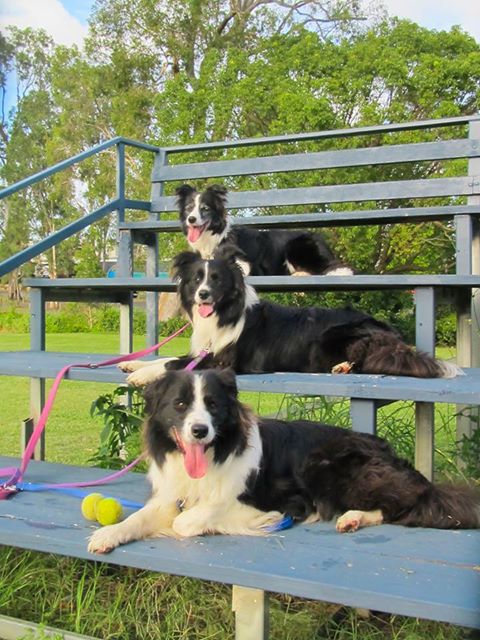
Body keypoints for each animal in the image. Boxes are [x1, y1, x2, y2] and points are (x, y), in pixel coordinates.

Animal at [87, 369, 479, 553]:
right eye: (180, 404)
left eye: (213, 404)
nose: (199, 430)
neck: (215, 454)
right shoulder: (172, 495)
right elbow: (140, 517)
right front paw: (108, 534)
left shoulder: (281, 500)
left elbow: (188, 521)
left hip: (326, 464)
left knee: (399, 505)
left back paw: (352, 517)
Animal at [119, 246, 462, 386]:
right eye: (196, 280)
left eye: (216, 280)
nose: (203, 295)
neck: (226, 313)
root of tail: (391, 333)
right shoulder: (203, 350)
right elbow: (167, 358)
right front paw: (134, 364)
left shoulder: (224, 362)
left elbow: (171, 365)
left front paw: (140, 376)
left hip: (333, 336)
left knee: (366, 358)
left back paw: (342, 366)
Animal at [176, 183, 353, 276]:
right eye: (189, 208)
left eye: (205, 208)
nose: (191, 219)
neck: (216, 236)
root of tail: (321, 238)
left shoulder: (249, 266)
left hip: (296, 246)